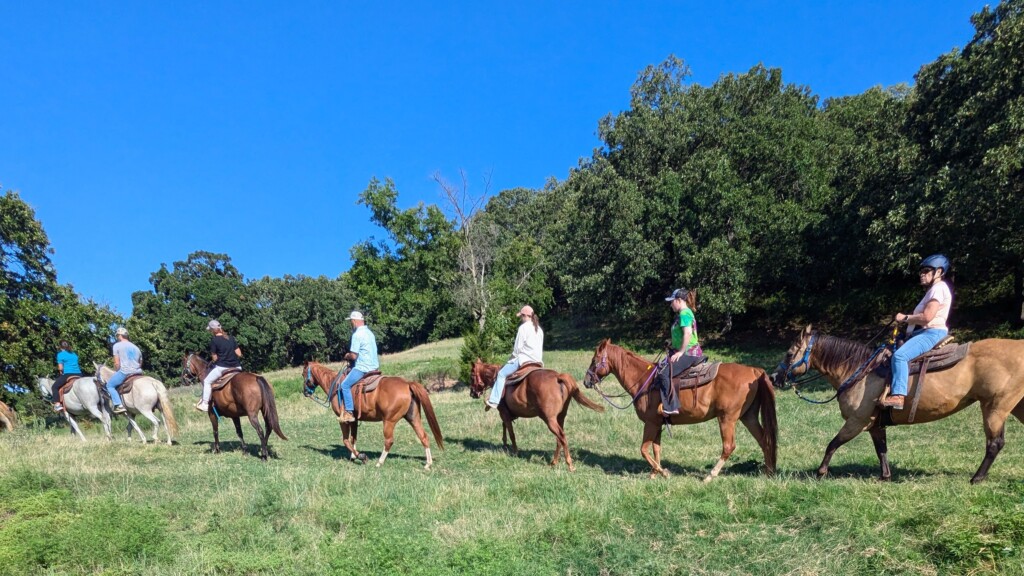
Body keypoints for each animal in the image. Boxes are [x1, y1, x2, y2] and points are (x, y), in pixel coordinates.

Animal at [302, 361, 444, 469]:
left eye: (303, 374)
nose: (305, 392)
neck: (336, 386)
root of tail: (407, 384)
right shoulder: (354, 420)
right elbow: (353, 439)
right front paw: (353, 456)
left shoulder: (343, 420)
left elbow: (346, 440)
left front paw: (361, 456)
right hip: (413, 417)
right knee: (423, 436)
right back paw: (428, 463)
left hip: (389, 421)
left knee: (389, 441)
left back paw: (379, 462)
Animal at [469, 359, 605, 471]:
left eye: (471, 376)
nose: (472, 393)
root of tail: (558, 377)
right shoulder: (505, 415)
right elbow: (505, 428)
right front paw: (505, 445)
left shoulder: (504, 413)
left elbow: (511, 433)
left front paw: (514, 451)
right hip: (560, 418)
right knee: (559, 438)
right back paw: (554, 462)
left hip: (549, 419)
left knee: (561, 437)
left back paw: (569, 464)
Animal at [583, 339, 778, 481]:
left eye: (594, 360)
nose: (586, 381)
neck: (644, 381)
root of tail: (754, 370)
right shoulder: (658, 423)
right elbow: (656, 449)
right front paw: (655, 473)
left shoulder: (650, 423)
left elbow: (644, 449)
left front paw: (663, 472)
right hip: (748, 416)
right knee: (764, 440)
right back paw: (768, 472)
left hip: (727, 418)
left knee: (729, 446)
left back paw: (710, 476)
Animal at [774, 324, 1024, 483]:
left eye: (789, 354)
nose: (776, 377)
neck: (859, 371)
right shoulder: (874, 424)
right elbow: (881, 450)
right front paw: (885, 476)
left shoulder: (857, 421)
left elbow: (832, 444)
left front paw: (821, 472)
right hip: (1014, 407)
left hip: (994, 407)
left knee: (995, 444)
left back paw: (977, 478)